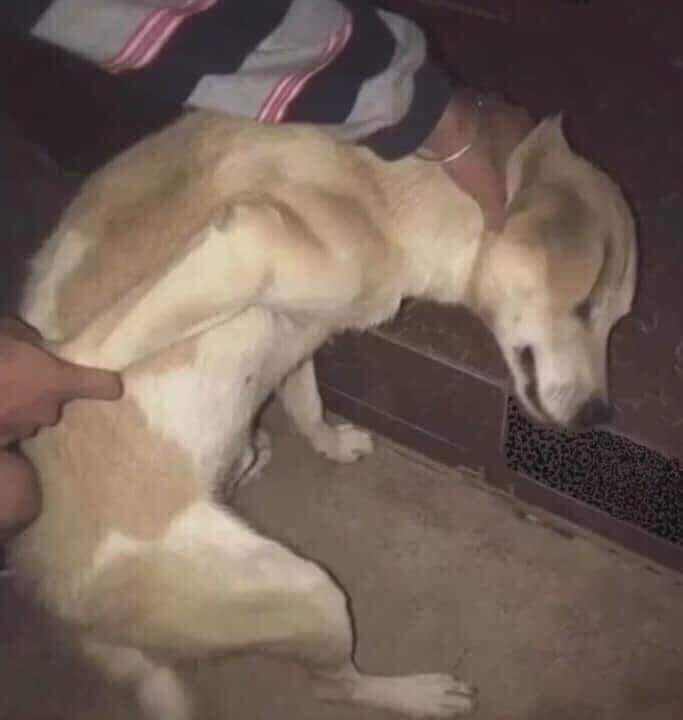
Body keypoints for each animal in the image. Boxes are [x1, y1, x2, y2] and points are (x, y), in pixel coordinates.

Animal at [10, 111, 636, 719]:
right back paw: (416, 696)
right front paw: (41, 378)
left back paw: (248, 459)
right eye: (584, 306)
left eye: (614, 319)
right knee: (336, 688)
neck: (386, 199)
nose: (597, 415)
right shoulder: (247, 242)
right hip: (309, 590)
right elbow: (87, 353)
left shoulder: (300, 331)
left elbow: (307, 403)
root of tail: (64, 603)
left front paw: (330, 443)